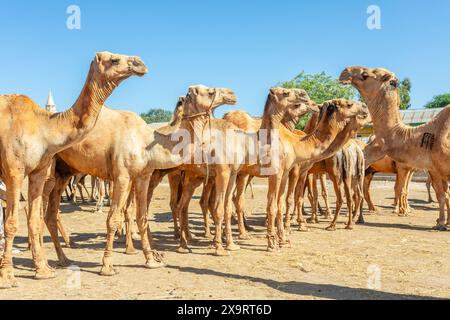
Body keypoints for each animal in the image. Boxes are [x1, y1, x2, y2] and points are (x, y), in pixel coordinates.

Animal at [0, 52, 146, 288]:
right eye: (114, 59)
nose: (140, 63)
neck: (44, 127)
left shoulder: (39, 171)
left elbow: (33, 220)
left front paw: (42, 271)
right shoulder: (14, 171)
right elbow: (11, 223)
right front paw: (7, 277)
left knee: (45, 213)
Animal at [44, 85, 237, 276]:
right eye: (210, 91)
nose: (232, 94)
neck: (147, 142)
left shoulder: (143, 176)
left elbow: (142, 216)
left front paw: (151, 260)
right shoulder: (122, 176)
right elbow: (113, 218)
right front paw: (107, 266)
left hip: (63, 171)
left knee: (51, 215)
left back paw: (63, 258)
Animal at [342, 65, 450, 230]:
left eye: (365, 75)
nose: (345, 72)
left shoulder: (431, 168)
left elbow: (441, 194)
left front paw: (441, 222)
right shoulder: (431, 168)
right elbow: (439, 193)